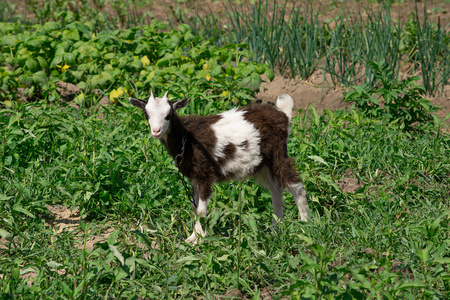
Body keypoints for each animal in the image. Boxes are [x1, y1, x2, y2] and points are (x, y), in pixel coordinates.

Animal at [130, 91, 310, 244]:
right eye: (146, 115)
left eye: (168, 115)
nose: (156, 131)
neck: (188, 140)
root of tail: (283, 115)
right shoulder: (194, 178)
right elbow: (195, 208)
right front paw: (193, 237)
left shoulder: (204, 173)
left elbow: (201, 210)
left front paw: (199, 239)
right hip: (262, 165)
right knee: (276, 190)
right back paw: (275, 229)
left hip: (277, 154)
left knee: (296, 187)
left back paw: (305, 225)